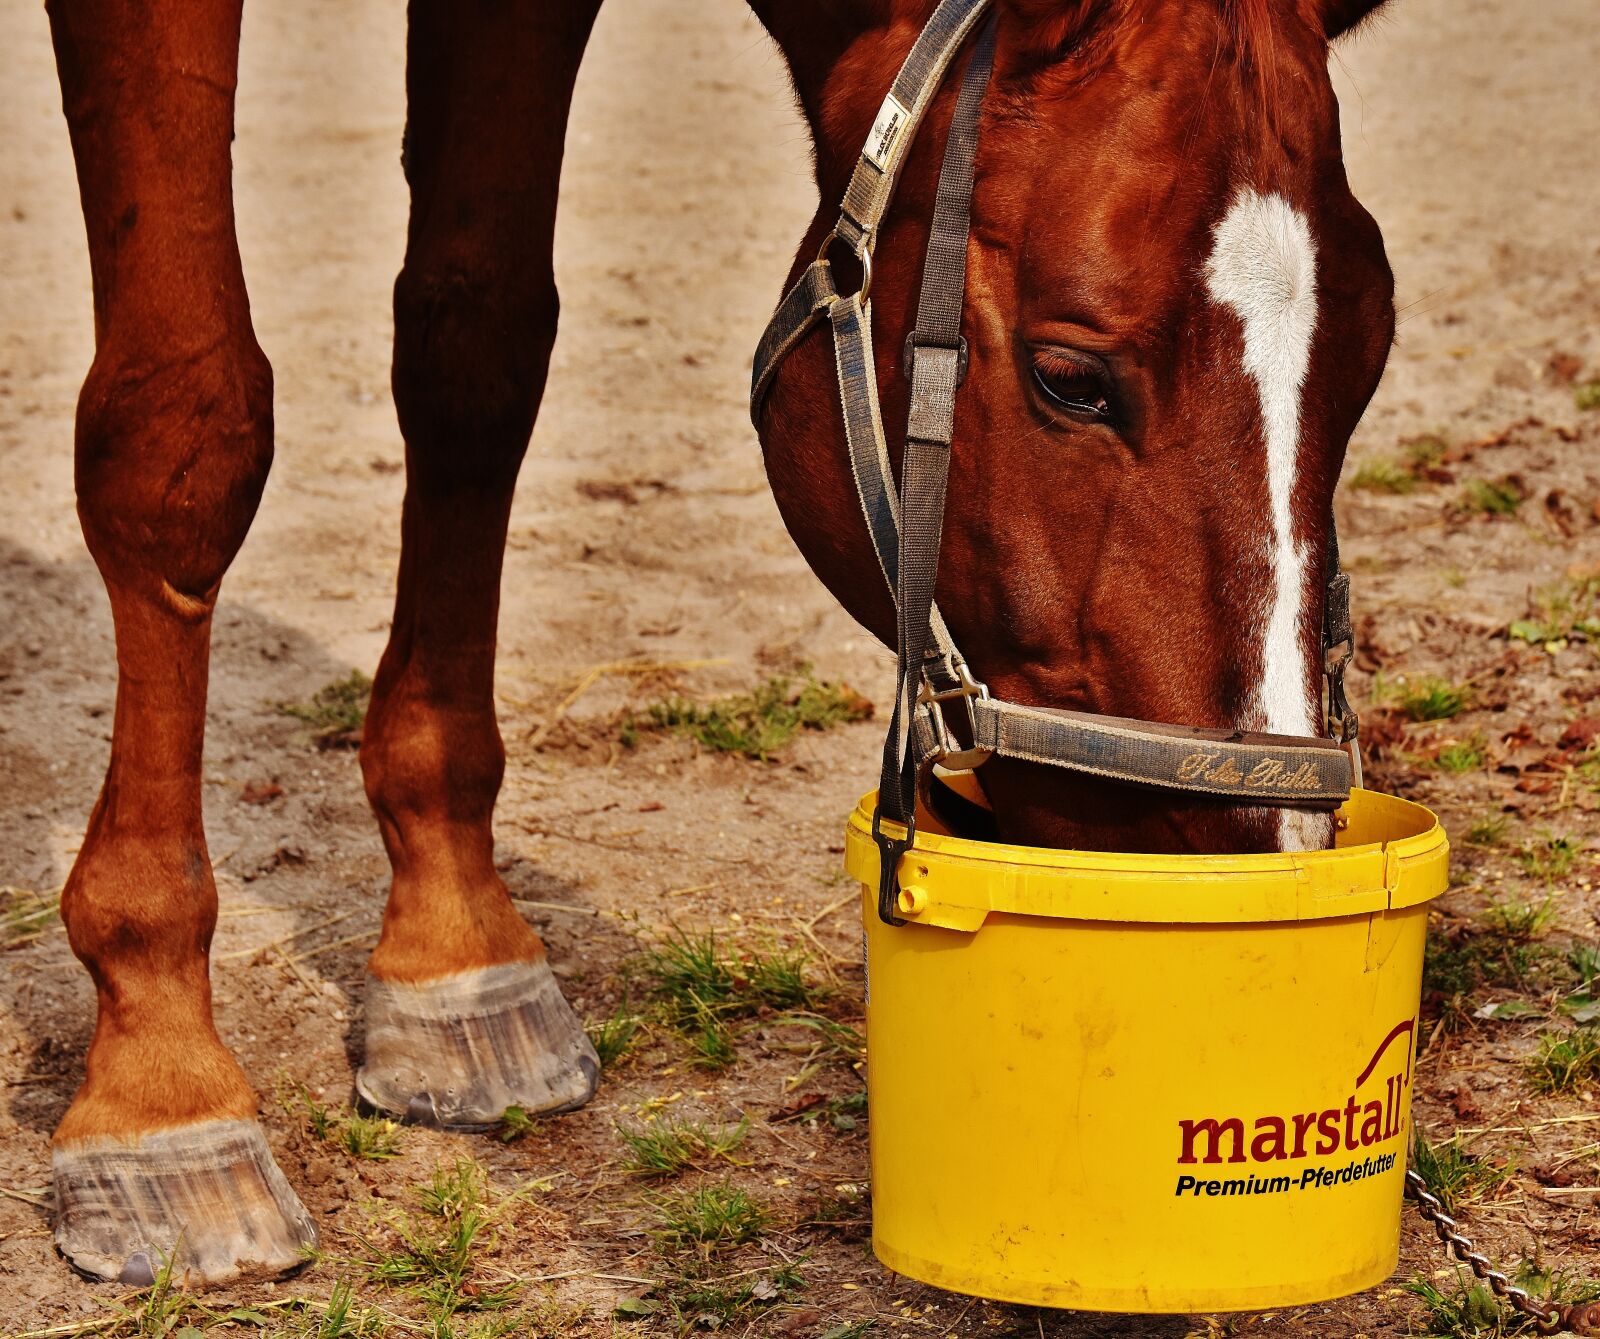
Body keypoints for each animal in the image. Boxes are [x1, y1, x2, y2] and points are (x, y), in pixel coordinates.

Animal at [39, 0, 1394, 1287]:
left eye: (1371, 358)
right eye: (1071, 378)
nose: (1261, 856)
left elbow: (473, 352)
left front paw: (454, 953)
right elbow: (184, 431)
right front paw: (159, 1082)